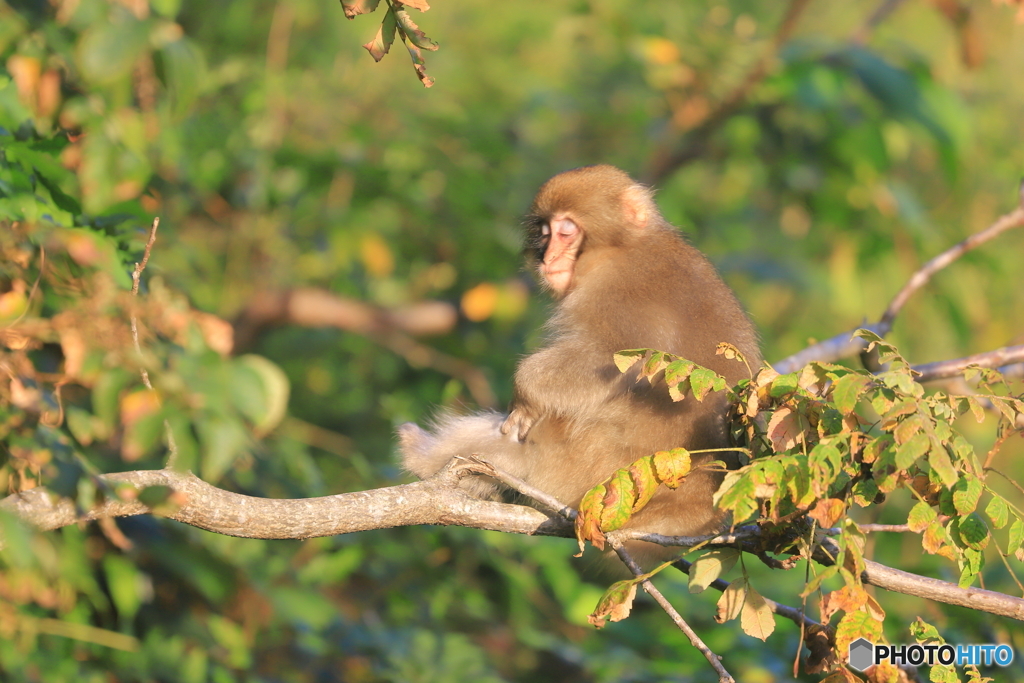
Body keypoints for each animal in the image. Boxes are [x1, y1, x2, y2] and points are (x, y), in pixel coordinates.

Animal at [399, 165, 761, 561]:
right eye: (544, 231)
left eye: (566, 231)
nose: (547, 257)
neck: (622, 247)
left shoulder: (618, 292)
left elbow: (612, 359)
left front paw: (525, 392)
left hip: (583, 469)